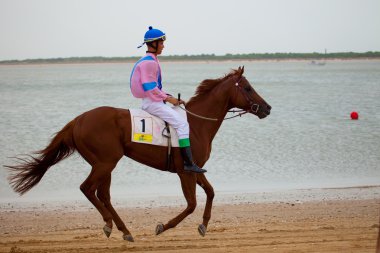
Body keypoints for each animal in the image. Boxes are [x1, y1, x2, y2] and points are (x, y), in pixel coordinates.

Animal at [5, 66, 270, 242]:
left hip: (105, 164)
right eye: (248, 88)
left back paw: (124, 230)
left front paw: (204, 225)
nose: (267, 108)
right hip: (105, 162)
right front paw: (163, 226)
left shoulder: (195, 168)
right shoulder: (185, 172)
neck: (196, 124)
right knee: (88, 189)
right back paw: (110, 225)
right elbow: (191, 204)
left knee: (103, 195)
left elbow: (211, 192)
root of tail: (78, 120)